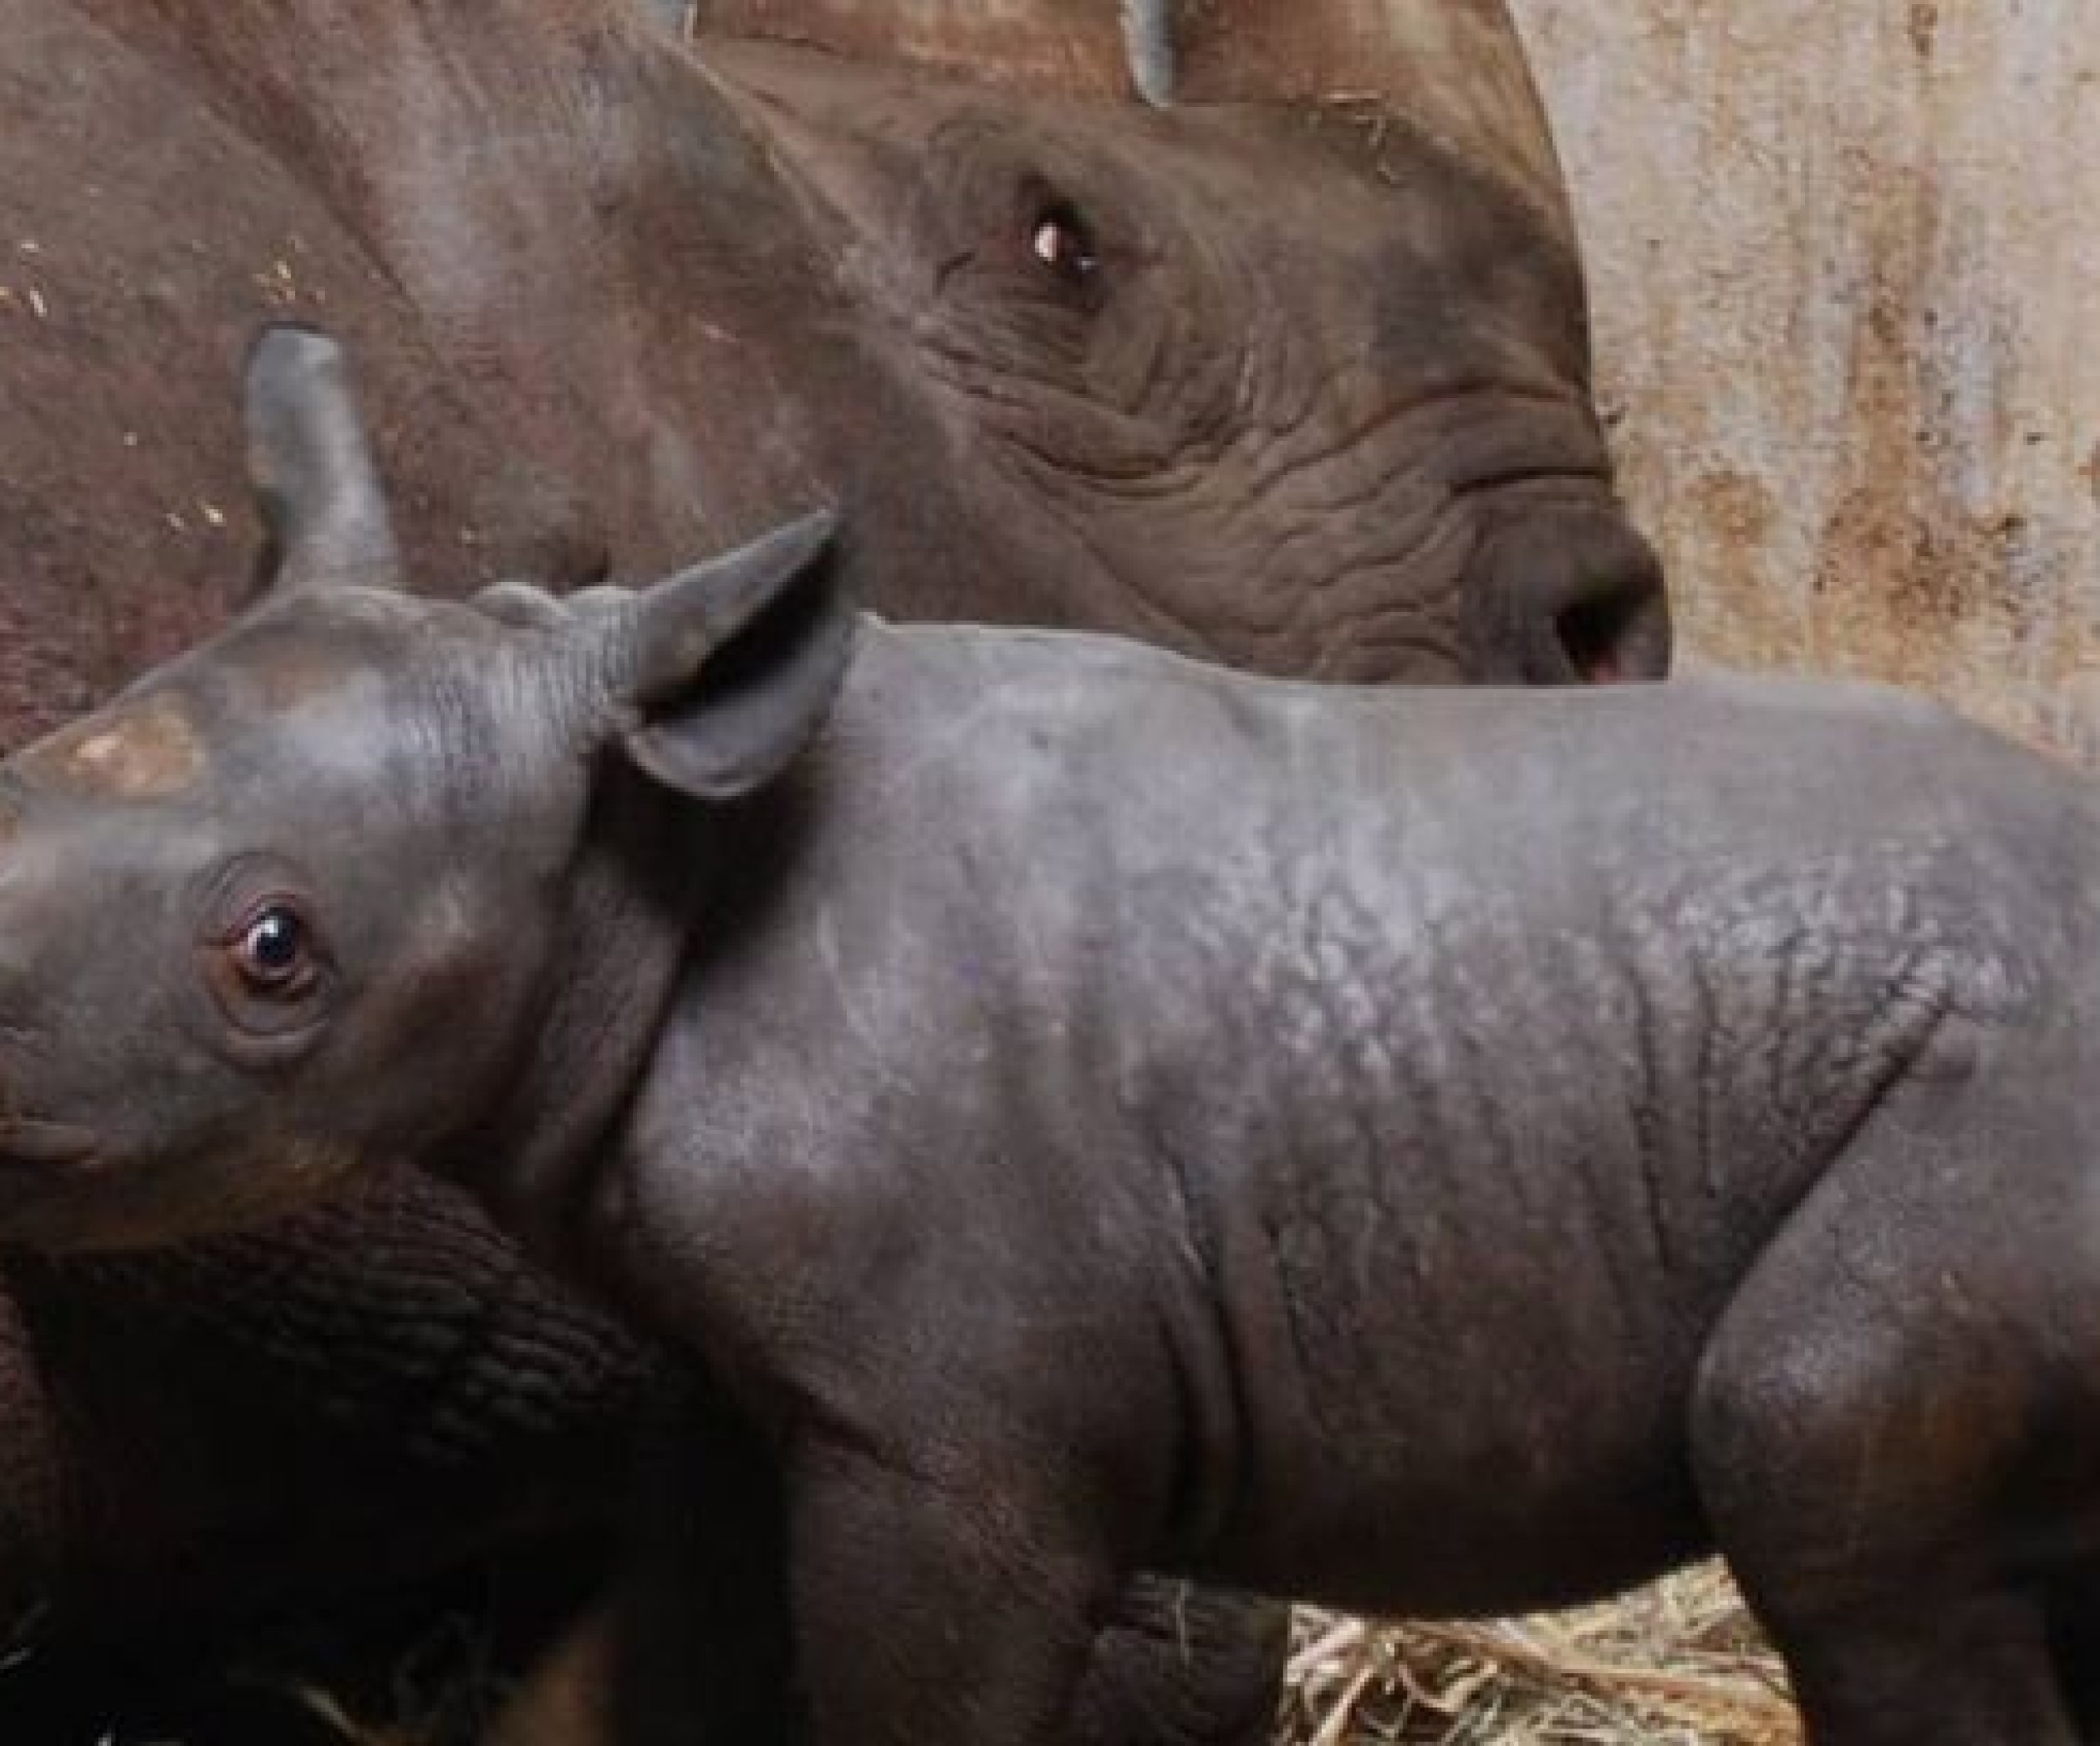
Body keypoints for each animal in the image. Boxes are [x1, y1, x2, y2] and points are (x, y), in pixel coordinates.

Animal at [3, 331, 2100, 1746]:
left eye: (273, 955)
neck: (652, 856)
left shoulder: (959, 1448)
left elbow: (906, 1700)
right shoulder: (760, 1388)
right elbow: (630, 1666)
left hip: (2009, 1096)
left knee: (1813, 1460)